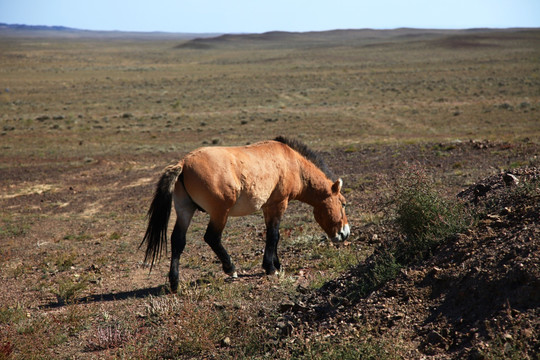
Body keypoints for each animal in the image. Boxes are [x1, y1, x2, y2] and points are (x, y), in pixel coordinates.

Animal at [140, 136, 350, 292]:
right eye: (343, 203)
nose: (345, 233)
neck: (294, 164)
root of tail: (183, 164)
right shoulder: (278, 204)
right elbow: (274, 236)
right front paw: (271, 268)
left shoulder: (268, 208)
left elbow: (272, 236)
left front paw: (276, 265)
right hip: (220, 213)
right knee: (212, 237)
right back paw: (230, 269)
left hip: (185, 210)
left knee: (178, 241)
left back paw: (174, 283)